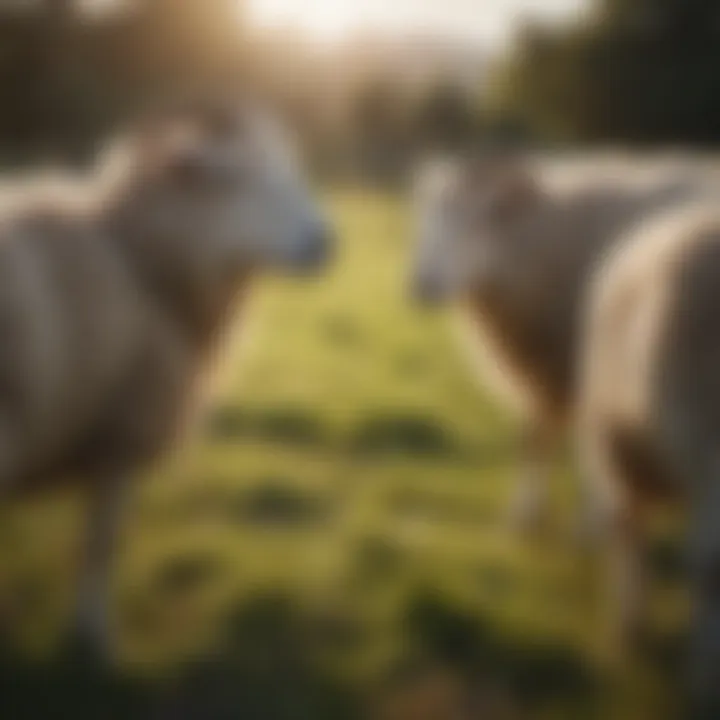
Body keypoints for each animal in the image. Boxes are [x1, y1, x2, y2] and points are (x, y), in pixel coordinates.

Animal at [0, 98, 334, 656]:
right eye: (236, 178)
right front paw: (92, 635)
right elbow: (102, 544)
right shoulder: (118, 432)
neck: (138, 257)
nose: (328, 242)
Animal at [408, 155, 712, 532]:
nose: (423, 284)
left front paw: (589, 518)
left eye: (484, 217)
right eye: (425, 217)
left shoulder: (585, 367)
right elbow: (533, 437)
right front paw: (526, 514)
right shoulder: (547, 369)